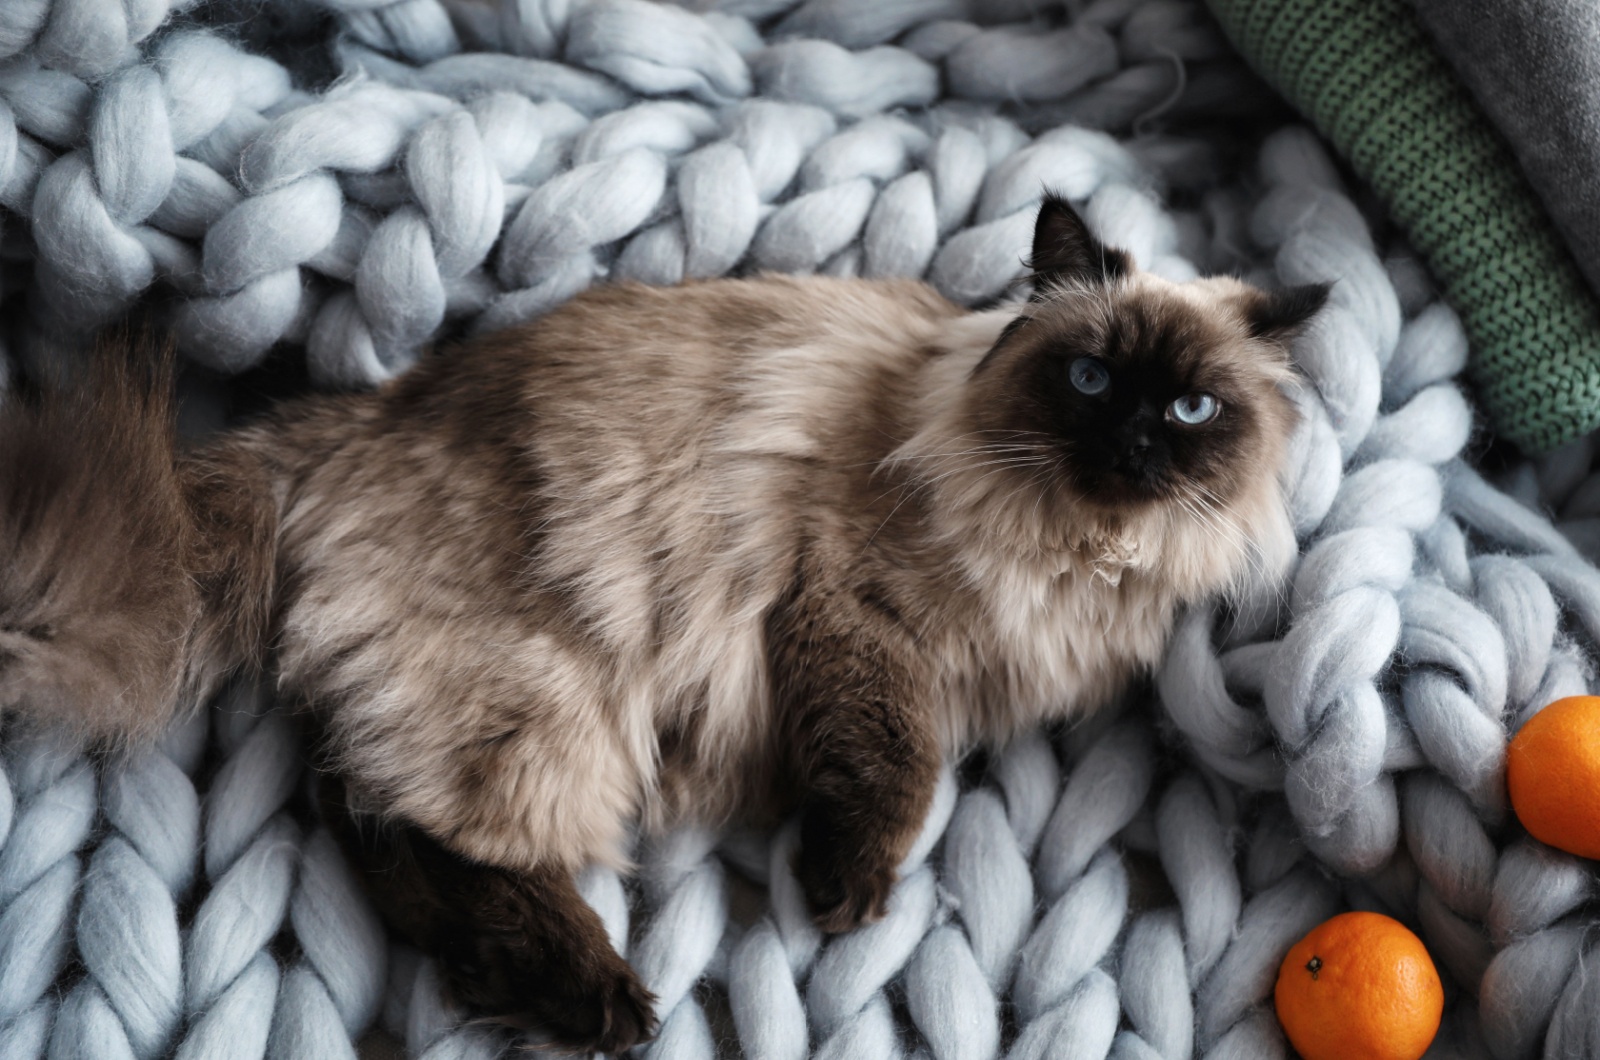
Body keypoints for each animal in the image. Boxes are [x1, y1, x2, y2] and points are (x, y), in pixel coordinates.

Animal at [0, 196, 1324, 1056]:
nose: (1136, 444)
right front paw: (847, 893)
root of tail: (352, 421)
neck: (1073, 546)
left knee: (365, 809)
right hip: (548, 699)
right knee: (435, 831)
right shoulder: (854, 616)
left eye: (1194, 409)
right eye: (1090, 380)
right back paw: (602, 1002)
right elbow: (894, 770)